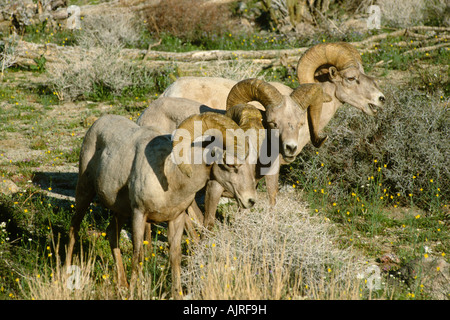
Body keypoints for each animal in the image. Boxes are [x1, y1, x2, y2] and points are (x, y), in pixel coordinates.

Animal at [66, 111, 256, 296]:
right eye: (229, 163)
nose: (250, 200)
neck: (171, 179)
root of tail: (98, 123)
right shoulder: (139, 214)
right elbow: (137, 256)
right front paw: (135, 292)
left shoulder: (176, 219)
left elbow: (175, 256)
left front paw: (177, 292)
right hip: (85, 191)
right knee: (74, 228)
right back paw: (66, 274)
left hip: (120, 211)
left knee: (112, 234)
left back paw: (122, 285)